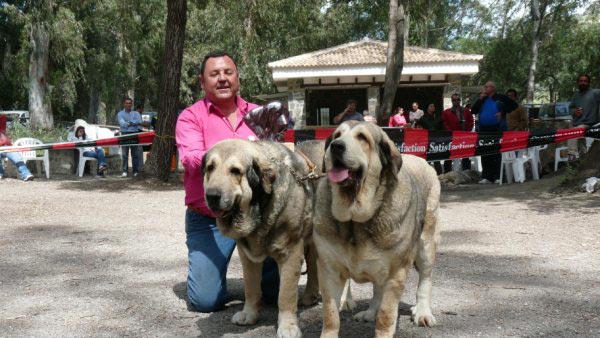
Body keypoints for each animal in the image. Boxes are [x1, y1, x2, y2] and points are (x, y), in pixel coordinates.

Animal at [314, 121, 440, 338]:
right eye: (337, 135)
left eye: (362, 138)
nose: (336, 146)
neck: (355, 220)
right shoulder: (329, 270)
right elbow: (331, 314)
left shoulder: (396, 273)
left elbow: (386, 314)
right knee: (377, 290)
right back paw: (370, 312)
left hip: (426, 245)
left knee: (425, 279)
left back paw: (423, 312)